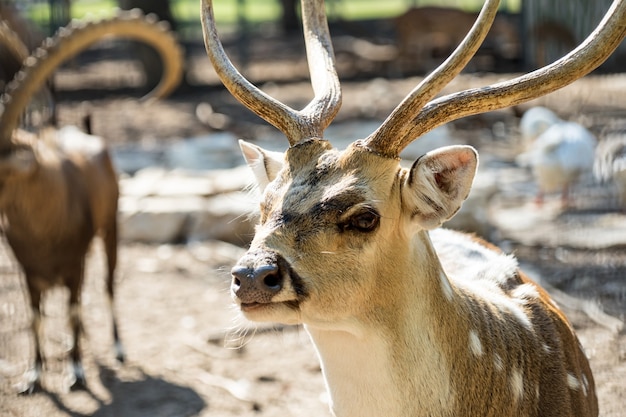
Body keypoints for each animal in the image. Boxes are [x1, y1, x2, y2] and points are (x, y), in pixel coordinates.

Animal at [0, 10, 182, 394]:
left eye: (3, 167)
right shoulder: (28, 271)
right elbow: (35, 317)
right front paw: (33, 376)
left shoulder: (74, 264)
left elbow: (72, 309)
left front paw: (76, 372)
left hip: (109, 231)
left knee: (107, 287)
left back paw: (117, 349)